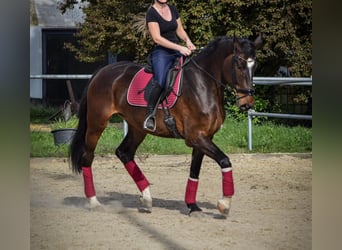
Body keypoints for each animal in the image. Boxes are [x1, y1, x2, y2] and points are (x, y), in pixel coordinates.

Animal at [69, 35, 262, 217]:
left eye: (254, 67)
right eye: (239, 64)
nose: (247, 104)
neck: (204, 83)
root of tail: (102, 71)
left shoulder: (204, 138)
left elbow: (194, 171)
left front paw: (193, 206)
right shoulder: (196, 137)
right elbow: (224, 160)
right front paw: (224, 203)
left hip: (138, 128)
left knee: (124, 153)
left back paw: (147, 198)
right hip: (97, 123)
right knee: (88, 157)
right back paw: (94, 202)